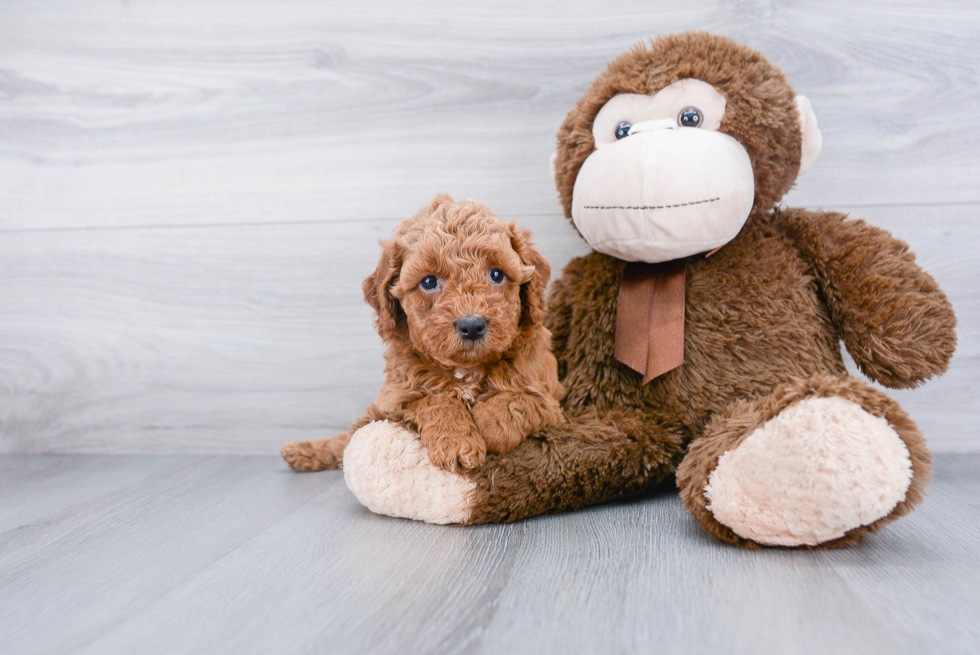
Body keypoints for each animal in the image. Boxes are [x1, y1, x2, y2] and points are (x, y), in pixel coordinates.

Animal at [280, 195, 564, 472]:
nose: (472, 325)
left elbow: (523, 399)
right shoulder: (390, 404)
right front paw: (456, 442)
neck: (464, 371)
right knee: (344, 439)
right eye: (429, 281)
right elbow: (430, 400)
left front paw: (488, 423)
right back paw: (304, 451)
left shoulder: (552, 402)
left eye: (496, 274)